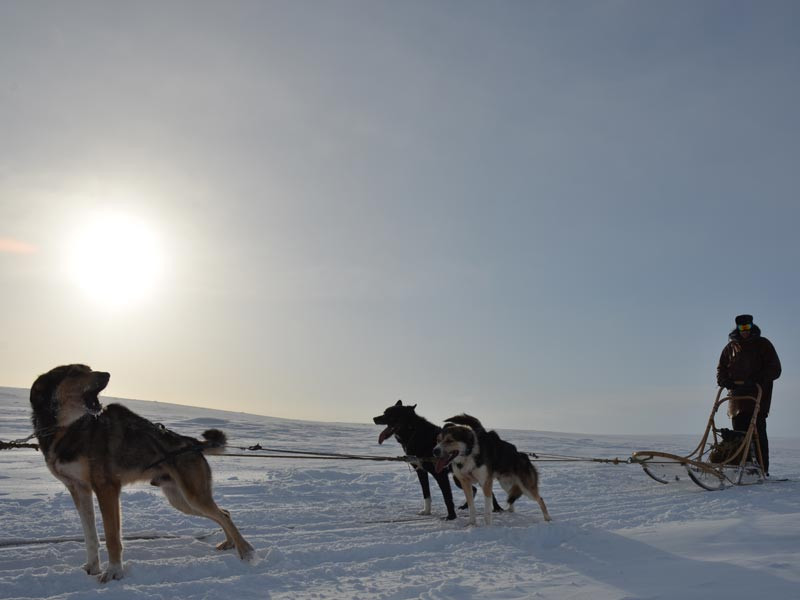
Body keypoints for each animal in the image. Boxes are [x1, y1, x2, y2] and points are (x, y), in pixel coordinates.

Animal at [30, 364, 253, 584]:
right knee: (224, 513)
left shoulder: (106, 489)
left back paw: (246, 551)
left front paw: (114, 572)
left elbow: (112, 537)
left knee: (223, 515)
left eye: (89, 368)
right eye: (75, 372)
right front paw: (92, 567)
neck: (66, 430)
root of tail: (192, 443)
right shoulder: (79, 490)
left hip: (193, 497)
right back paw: (230, 543)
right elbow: (90, 536)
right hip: (182, 501)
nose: (107, 374)